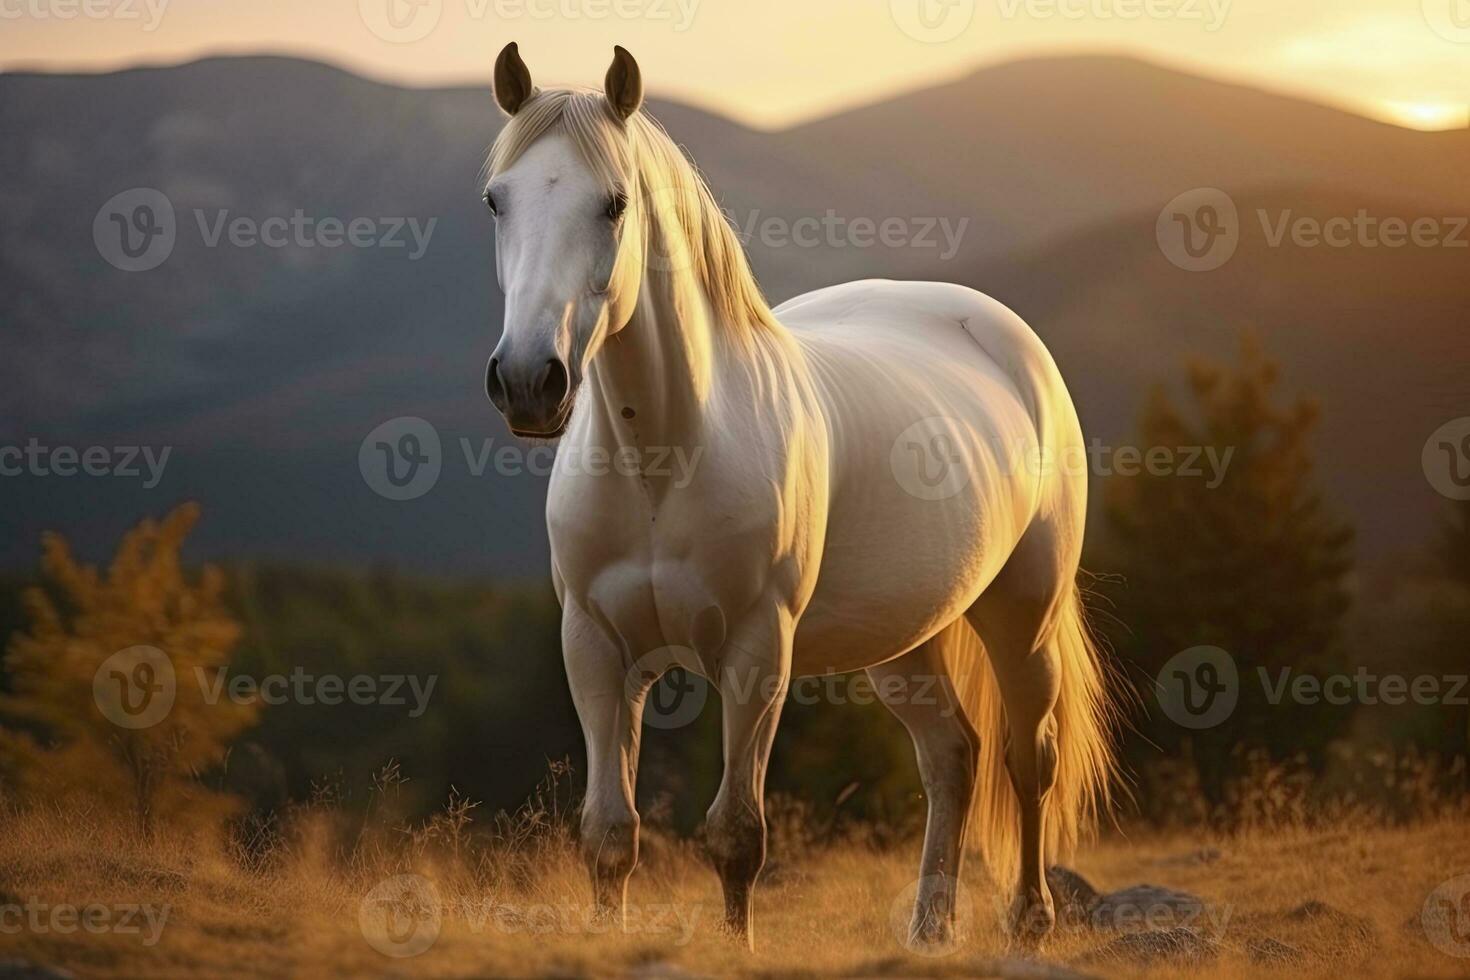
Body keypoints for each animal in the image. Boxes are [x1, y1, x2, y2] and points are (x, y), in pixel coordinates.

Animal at [479, 44, 1111, 952]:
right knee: (952, 755)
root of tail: (1004, 336)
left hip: (1022, 614)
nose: (530, 382)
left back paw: (1028, 923)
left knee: (1030, 758)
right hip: (906, 639)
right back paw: (928, 932)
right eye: (497, 200)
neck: (661, 460)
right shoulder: (596, 647)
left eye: (615, 203)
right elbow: (608, 835)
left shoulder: (756, 652)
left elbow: (737, 835)